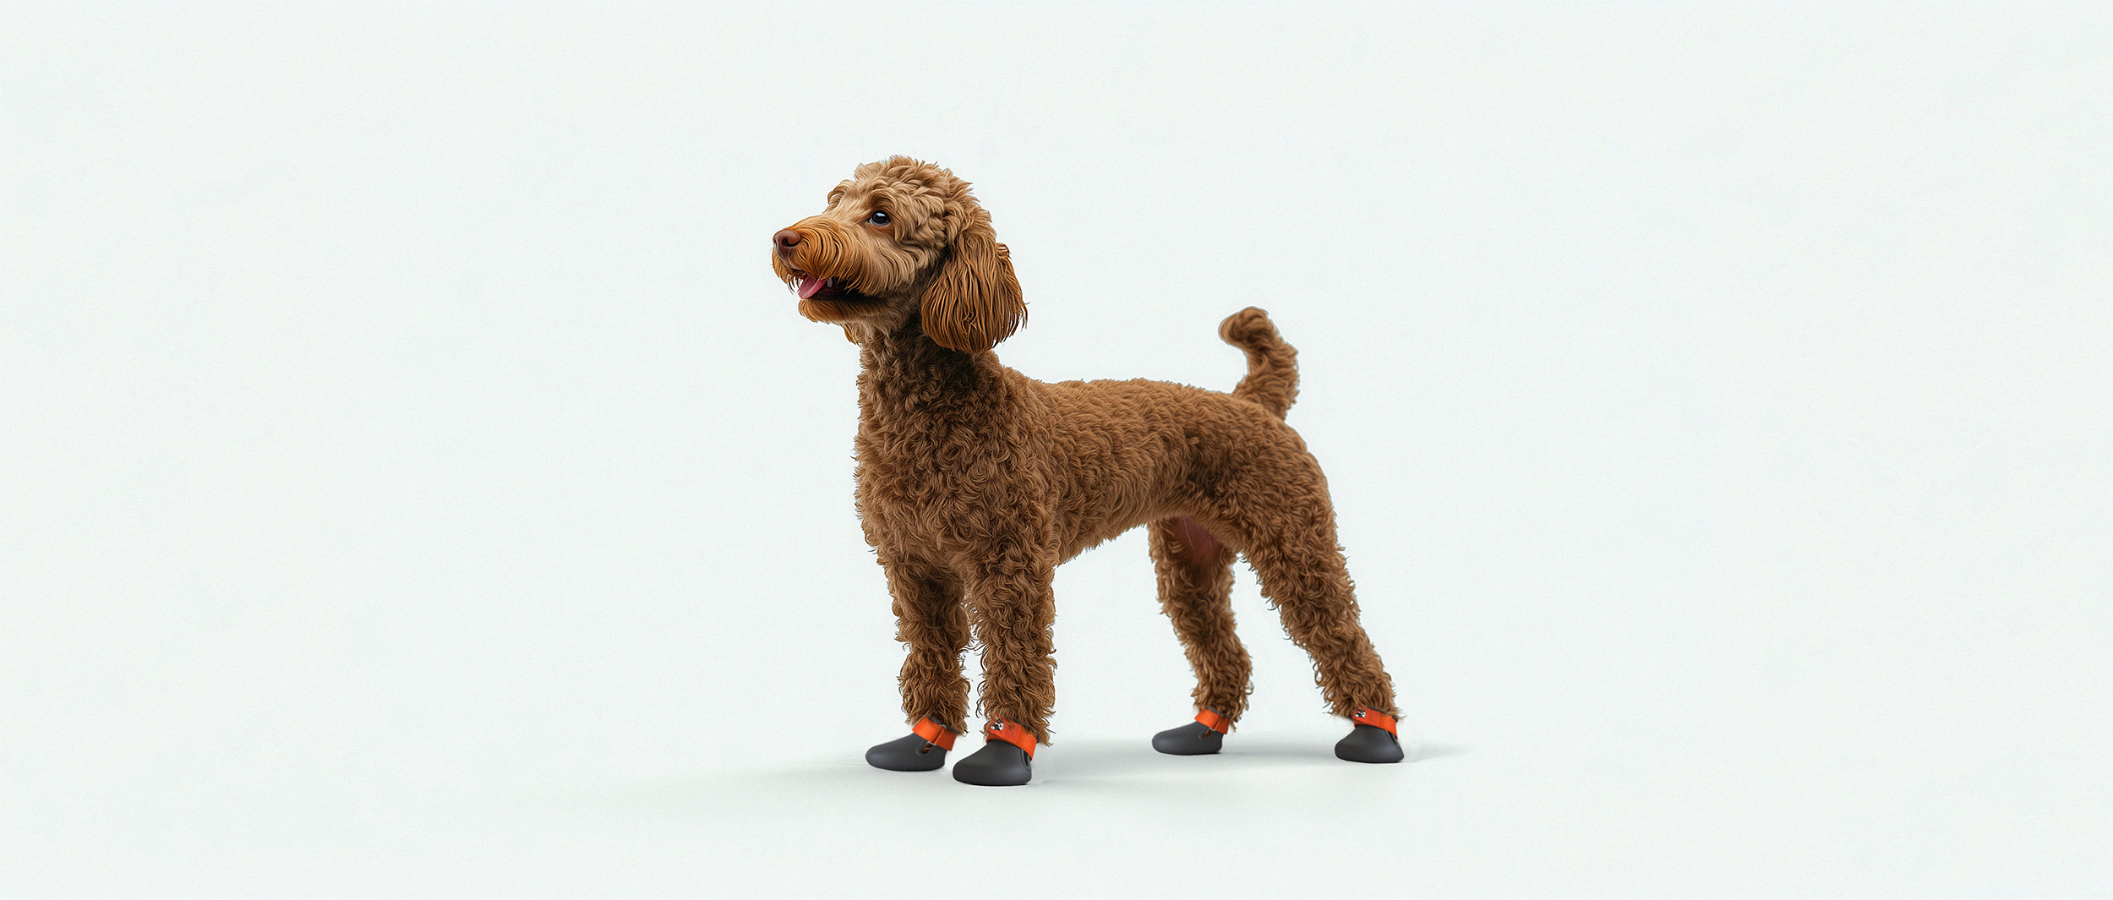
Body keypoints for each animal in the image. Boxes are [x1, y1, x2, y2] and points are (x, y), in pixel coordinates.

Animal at [777, 158, 1403, 785]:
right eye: (833, 202)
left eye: (880, 215)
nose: (785, 238)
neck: (929, 410)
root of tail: (1251, 402)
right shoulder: (914, 567)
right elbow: (930, 653)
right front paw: (922, 743)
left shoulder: (1010, 564)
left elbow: (1016, 654)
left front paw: (1005, 751)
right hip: (1190, 564)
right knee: (1227, 650)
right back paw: (1201, 731)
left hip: (1294, 542)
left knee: (1340, 633)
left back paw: (1375, 734)